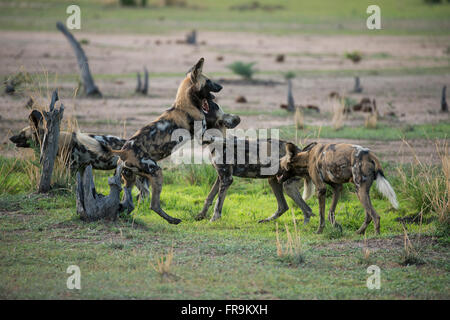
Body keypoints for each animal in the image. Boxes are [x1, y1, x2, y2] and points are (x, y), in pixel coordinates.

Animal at [109, 57, 232, 225]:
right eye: (208, 81)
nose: (221, 86)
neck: (187, 104)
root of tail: (123, 151)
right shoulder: (203, 136)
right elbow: (221, 138)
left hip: (131, 179)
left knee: (128, 201)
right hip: (156, 172)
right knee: (154, 205)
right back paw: (173, 220)